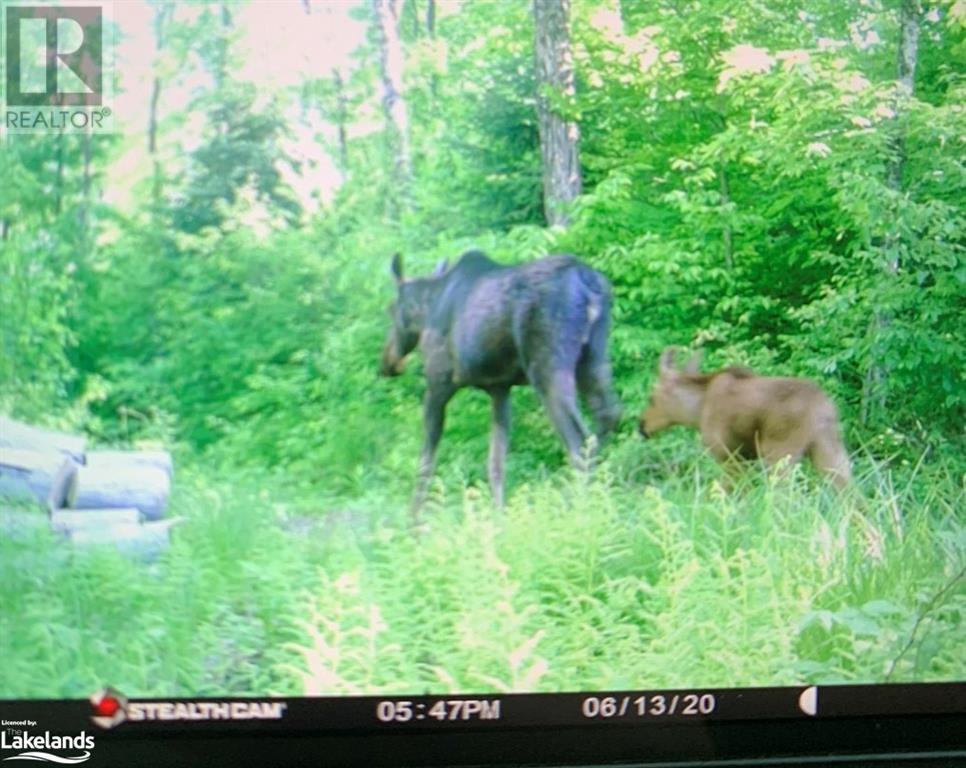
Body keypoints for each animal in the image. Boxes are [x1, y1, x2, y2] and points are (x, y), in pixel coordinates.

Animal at [378, 252, 620, 520]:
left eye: (391, 309)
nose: (388, 364)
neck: (428, 309)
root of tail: (588, 282)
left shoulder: (438, 383)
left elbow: (425, 461)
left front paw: (412, 521)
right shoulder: (500, 389)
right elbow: (496, 462)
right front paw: (498, 516)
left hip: (548, 367)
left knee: (580, 441)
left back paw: (577, 509)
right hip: (594, 358)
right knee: (608, 417)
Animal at [644, 346, 856, 486]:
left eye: (651, 399)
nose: (642, 425)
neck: (696, 410)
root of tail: (825, 409)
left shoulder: (727, 454)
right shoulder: (745, 457)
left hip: (779, 455)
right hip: (831, 452)